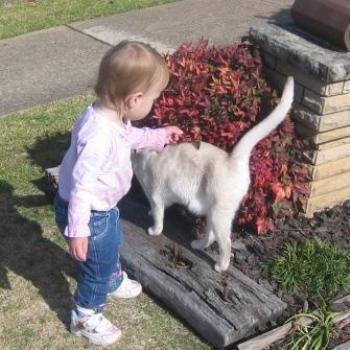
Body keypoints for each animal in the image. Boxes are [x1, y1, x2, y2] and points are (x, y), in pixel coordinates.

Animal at [133, 76, 294, 272]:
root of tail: (233, 159)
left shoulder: (156, 197)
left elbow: (158, 218)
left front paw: (154, 230)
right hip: (211, 211)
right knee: (210, 236)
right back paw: (197, 245)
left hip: (219, 214)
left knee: (225, 242)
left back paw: (220, 266)